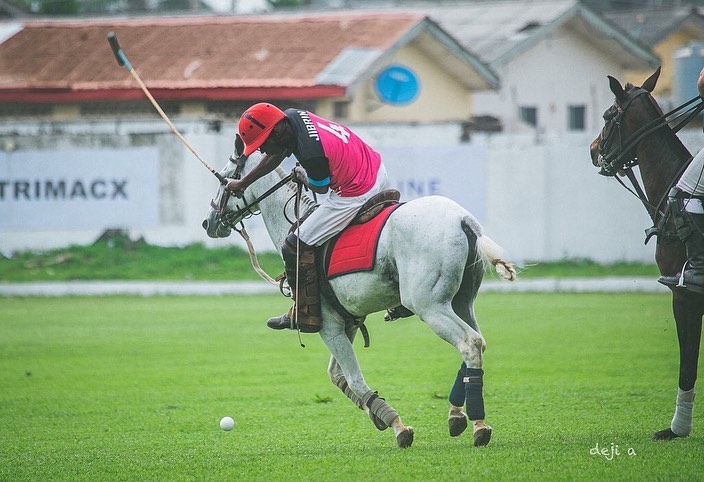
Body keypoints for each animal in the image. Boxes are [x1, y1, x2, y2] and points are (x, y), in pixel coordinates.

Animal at [201, 154, 516, 448]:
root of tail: (464, 219)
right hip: (462, 301)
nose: (209, 222)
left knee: (469, 343)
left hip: (429, 306)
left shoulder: (328, 325)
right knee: (479, 341)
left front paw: (398, 426)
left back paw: (478, 424)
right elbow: (337, 376)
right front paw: (379, 415)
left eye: (226, 178)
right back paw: (456, 416)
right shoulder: (348, 321)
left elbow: (353, 379)